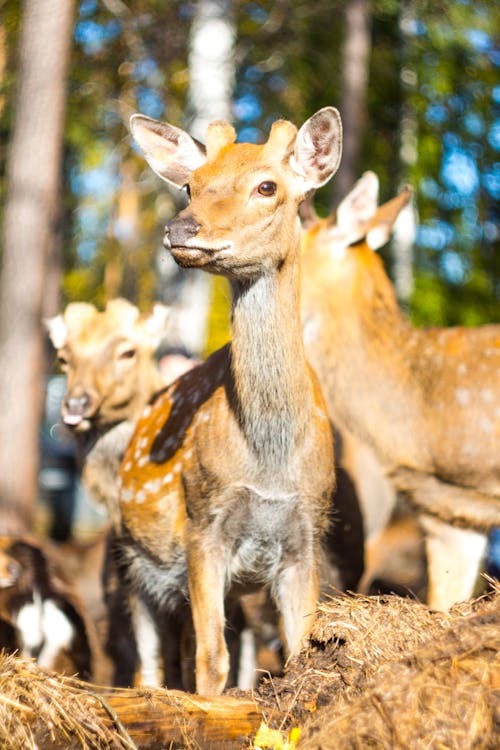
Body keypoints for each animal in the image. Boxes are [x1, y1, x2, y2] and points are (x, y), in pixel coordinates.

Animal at [118, 107, 344, 700]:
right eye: (190, 186)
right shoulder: (202, 523)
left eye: (268, 186)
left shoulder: (307, 533)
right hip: (131, 561)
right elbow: (210, 661)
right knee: (150, 666)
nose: (181, 229)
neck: (269, 459)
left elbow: (298, 651)